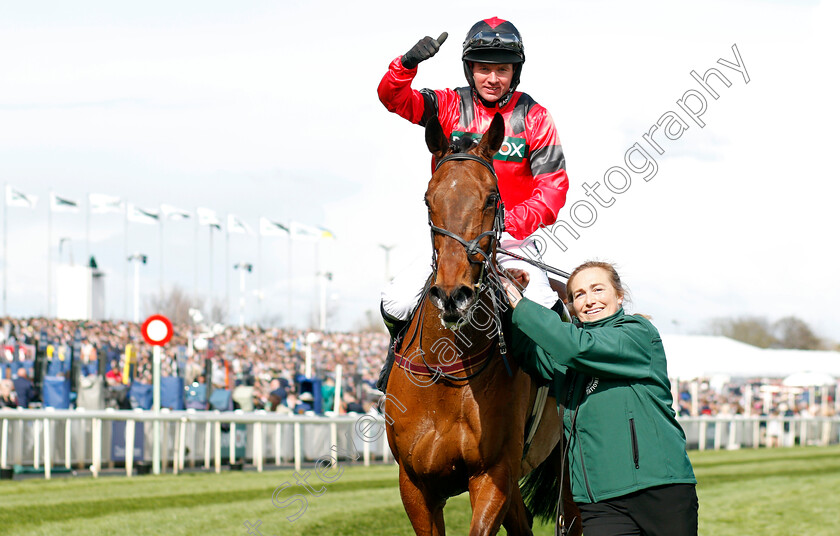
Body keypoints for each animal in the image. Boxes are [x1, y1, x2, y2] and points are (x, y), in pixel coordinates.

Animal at [384, 114, 580, 536]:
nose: (452, 294)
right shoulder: (415, 484)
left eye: (491, 197)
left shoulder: (493, 474)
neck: (447, 373)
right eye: (429, 199)